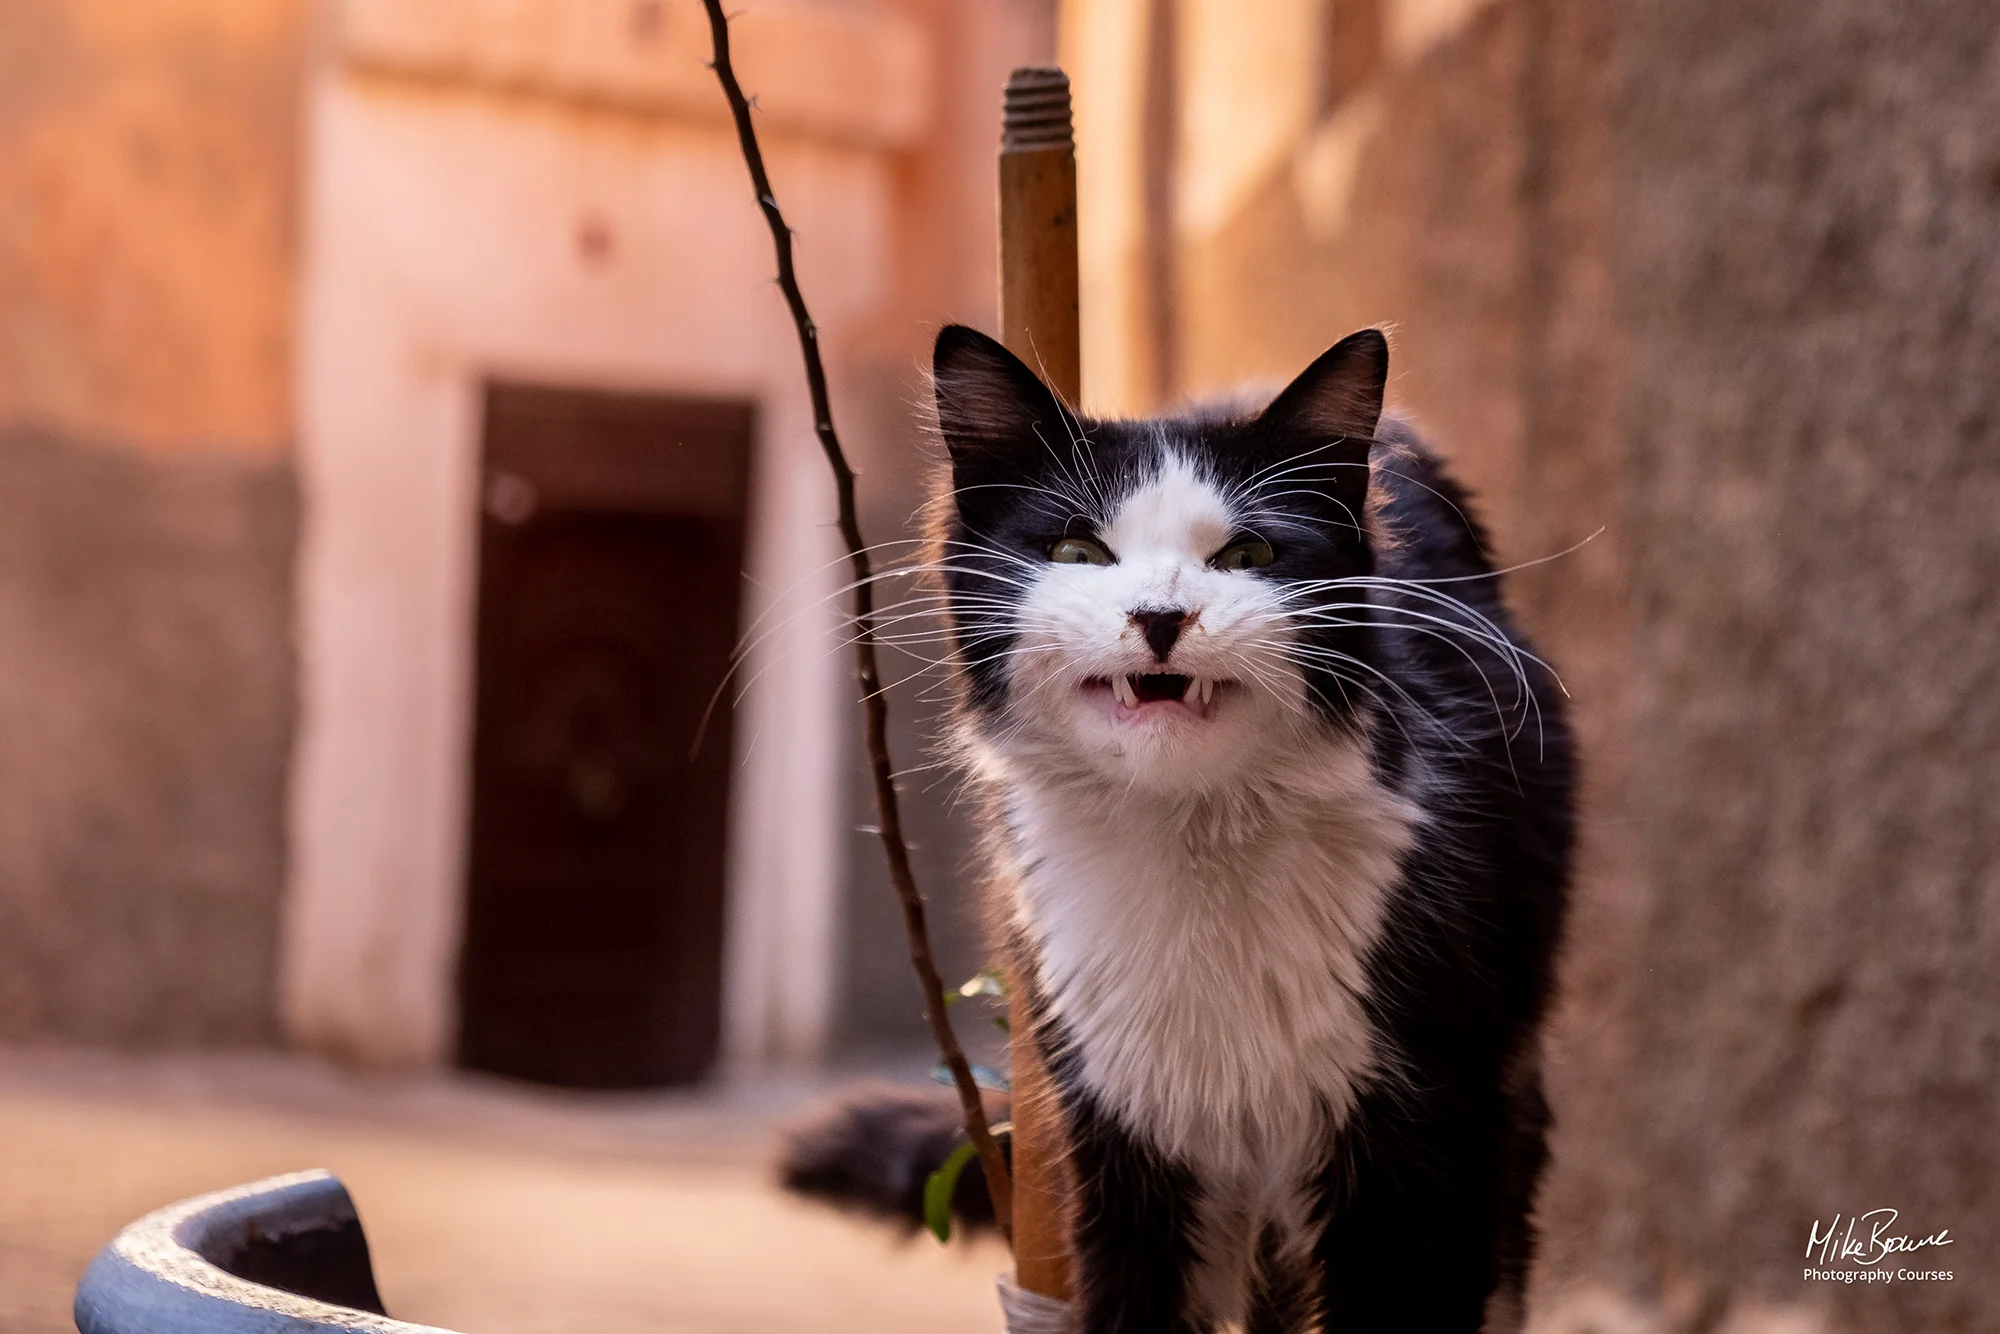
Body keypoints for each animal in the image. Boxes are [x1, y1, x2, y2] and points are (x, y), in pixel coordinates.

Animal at [788, 326, 1568, 1334]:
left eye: (1249, 552)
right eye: (1077, 548)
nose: (1160, 617)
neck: (1196, 836)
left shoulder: (1425, 1131)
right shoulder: (1120, 1140)